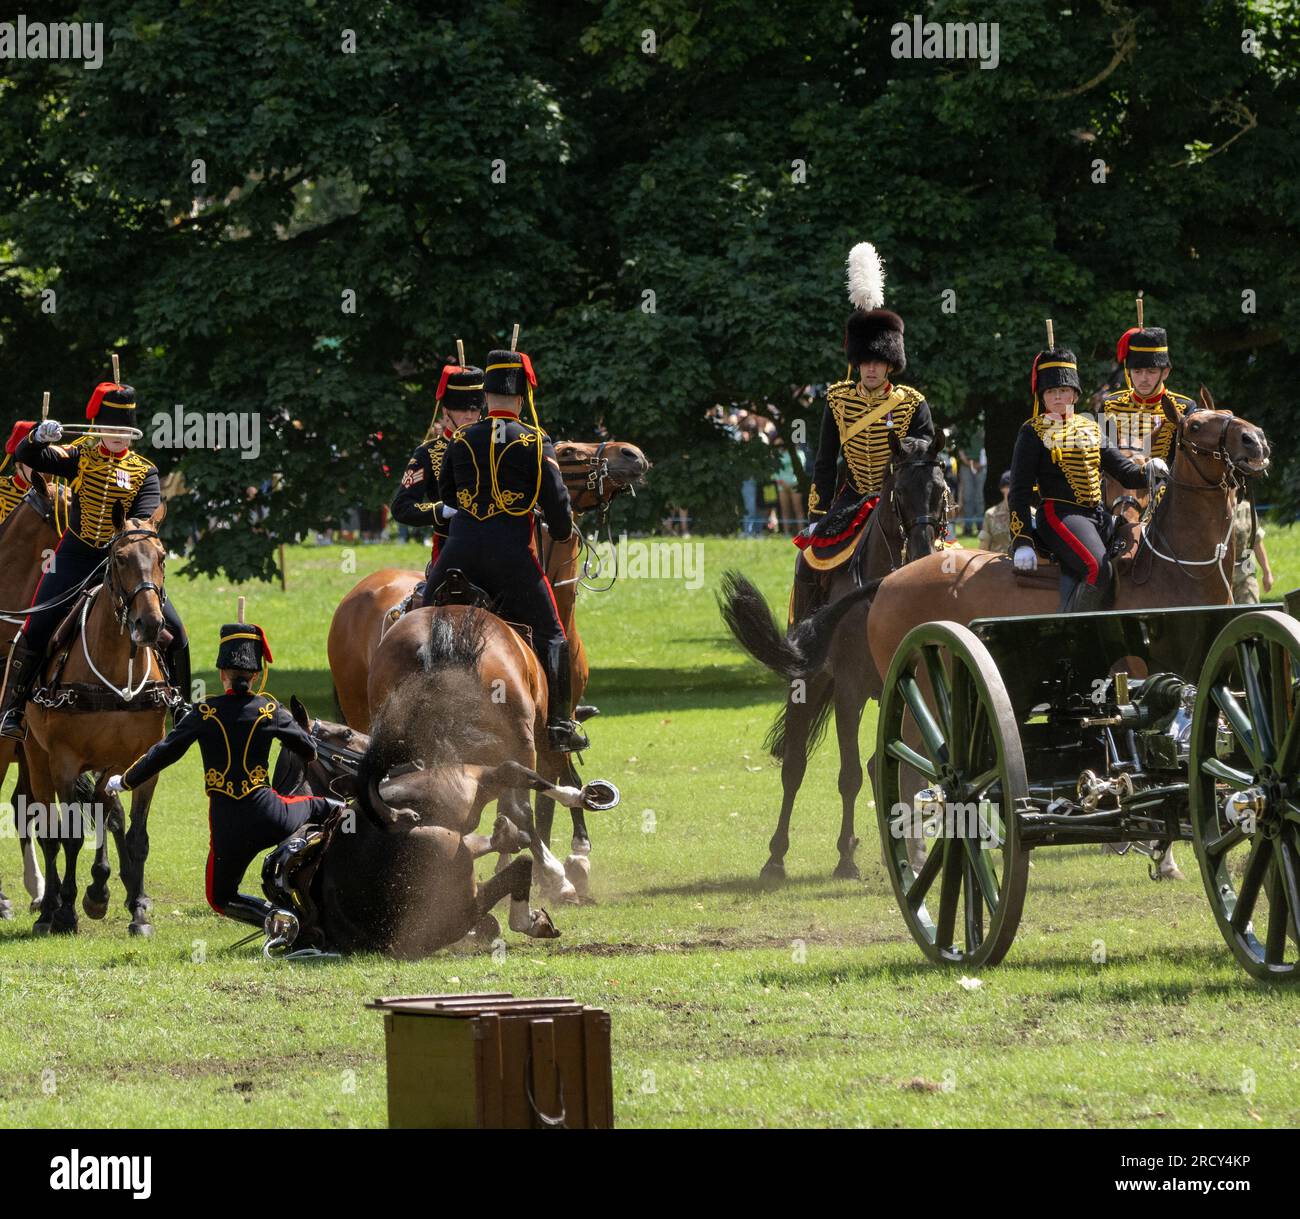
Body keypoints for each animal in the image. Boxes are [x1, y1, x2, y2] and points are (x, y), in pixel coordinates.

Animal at [22, 501, 171, 930]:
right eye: (120, 558)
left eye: (161, 557)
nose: (150, 624)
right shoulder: (65, 762)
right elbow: (69, 836)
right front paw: (67, 909)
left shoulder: (143, 761)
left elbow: (136, 835)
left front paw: (136, 911)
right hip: (36, 757)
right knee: (48, 830)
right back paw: (51, 907)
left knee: (107, 811)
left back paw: (104, 890)